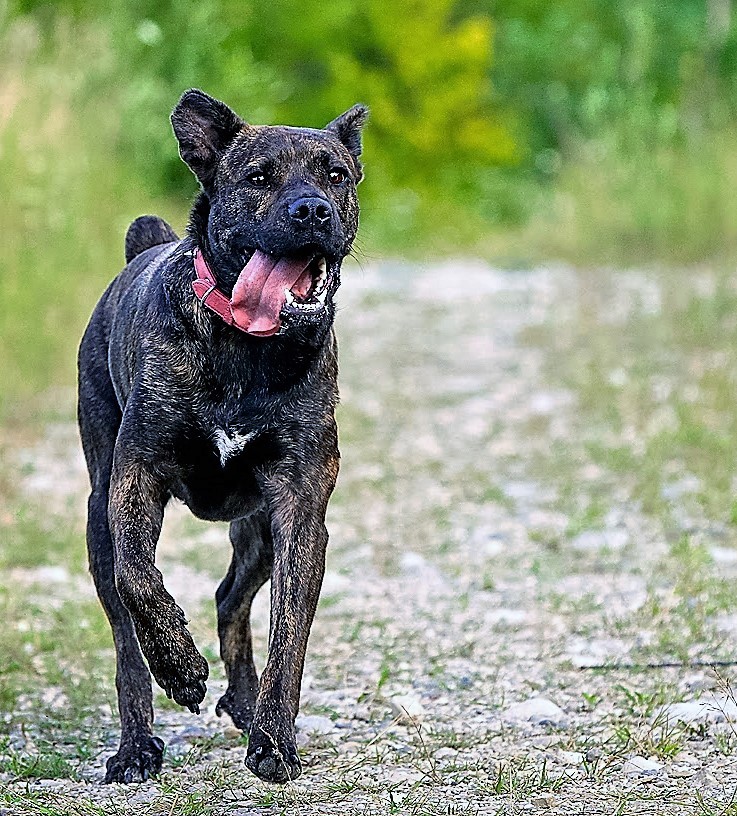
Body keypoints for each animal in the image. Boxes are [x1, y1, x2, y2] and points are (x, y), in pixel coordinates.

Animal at [77, 89, 368, 784]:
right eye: (259, 178)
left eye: (335, 175)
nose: (312, 209)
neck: (248, 346)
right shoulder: (134, 479)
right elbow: (139, 578)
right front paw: (181, 669)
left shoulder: (299, 509)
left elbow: (289, 633)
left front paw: (275, 742)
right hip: (99, 516)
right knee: (126, 641)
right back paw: (137, 745)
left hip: (257, 530)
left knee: (231, 597)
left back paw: (245, 701)